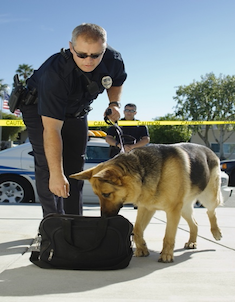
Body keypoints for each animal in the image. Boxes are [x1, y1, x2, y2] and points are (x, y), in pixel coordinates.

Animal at [70, 143, 222, 264]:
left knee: (211, 211)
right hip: (184, 209)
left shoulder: (173, 211)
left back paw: (216, 232)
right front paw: (142, 248)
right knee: (195, 224)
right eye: (97, 195)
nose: (104, 217)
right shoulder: (146, 208)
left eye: (106, 194)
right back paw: (192, 241)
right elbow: (137, 229)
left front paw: (166, 255)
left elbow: (169, 236)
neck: (143, 172)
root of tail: (209, 150)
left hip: (207, 197)